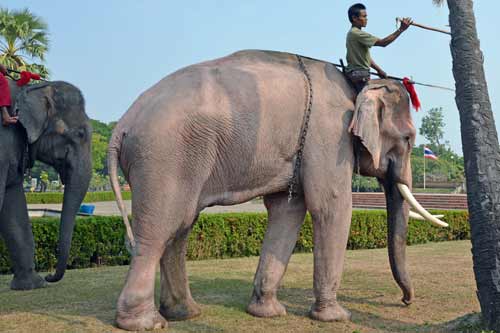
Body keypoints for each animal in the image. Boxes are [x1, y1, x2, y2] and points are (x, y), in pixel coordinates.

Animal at [108, 49, 446, 330]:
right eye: (408, 138)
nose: (405, 300)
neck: (356, 87)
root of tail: (121, 125)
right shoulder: (328, 136)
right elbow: (331, 206)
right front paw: (336, 317)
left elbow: (288, 211)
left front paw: (267, 312)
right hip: (164, 158)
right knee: (158, 230)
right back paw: (145, 323)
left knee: (180, 227)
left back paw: (185, 313)